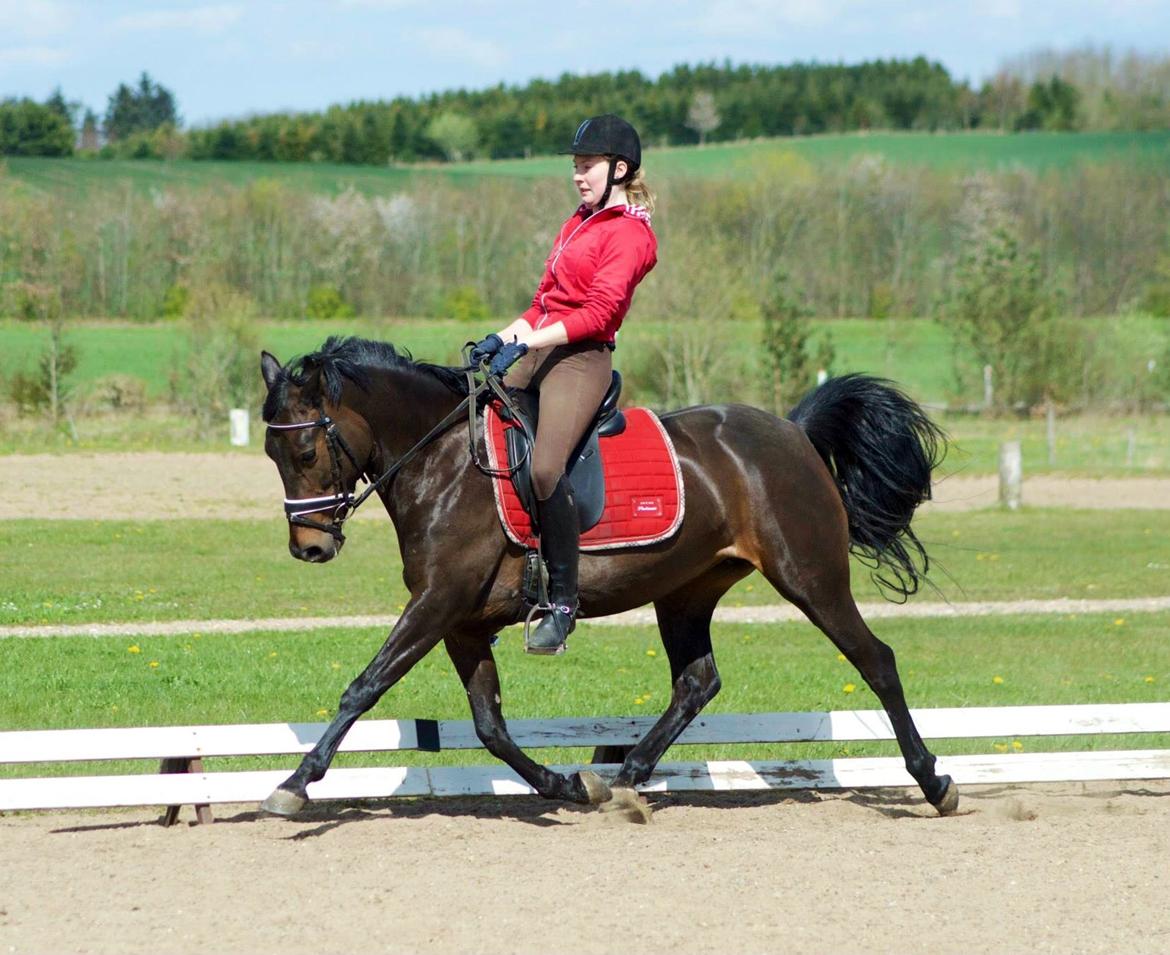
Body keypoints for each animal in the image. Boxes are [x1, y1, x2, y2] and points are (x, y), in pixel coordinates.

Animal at [258, 334, 959, 814]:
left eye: (305, 449)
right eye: (271, 451)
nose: (308, 548)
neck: (447, 462)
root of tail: (794, 431)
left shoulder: (438, 602)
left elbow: (364, 687)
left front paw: (293, 784)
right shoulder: (461, 621)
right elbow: (490, 727)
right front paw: (566, 785)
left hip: (810, 577)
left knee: (876, 660)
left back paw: (934, 780)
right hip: (686, 592)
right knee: (697, 683)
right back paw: (622, 779)